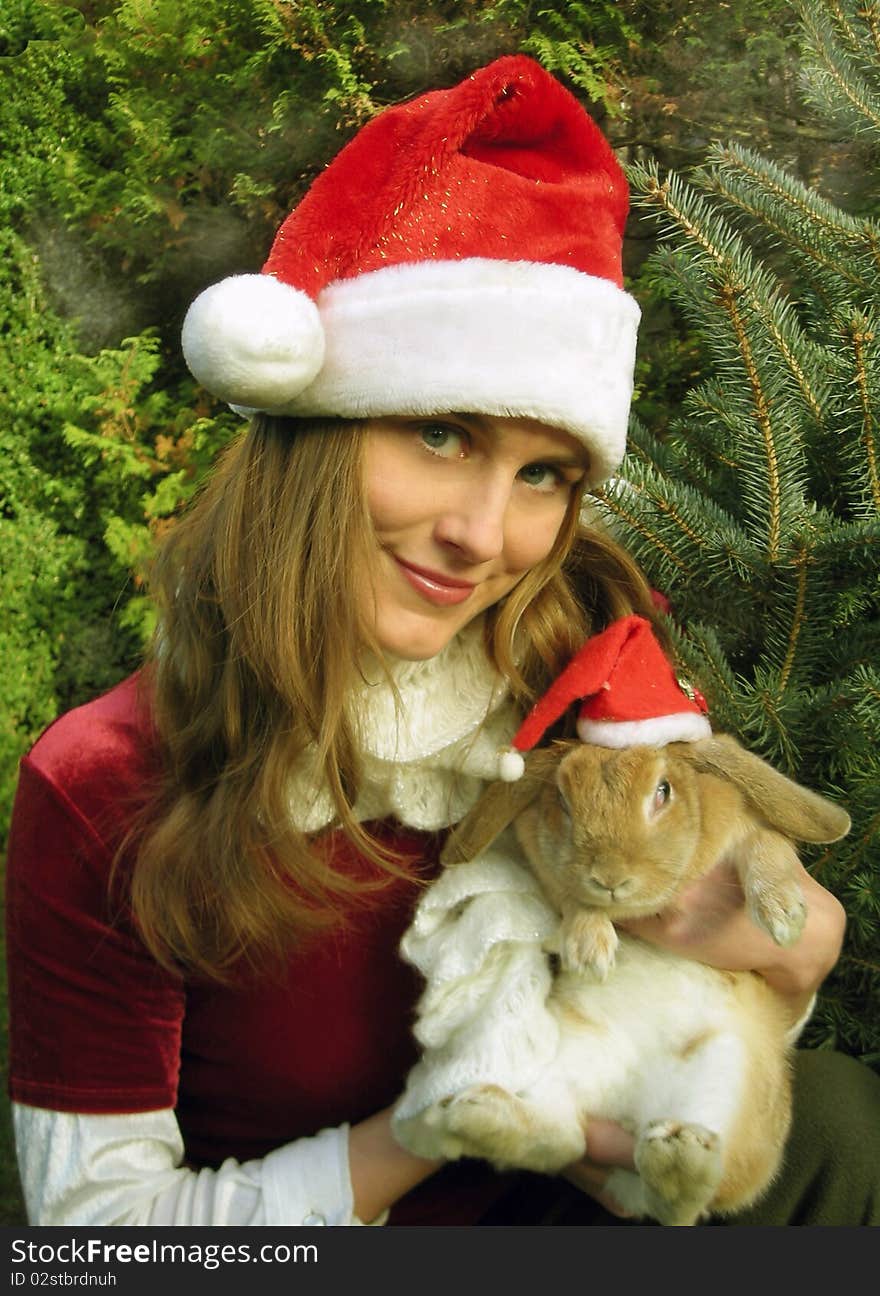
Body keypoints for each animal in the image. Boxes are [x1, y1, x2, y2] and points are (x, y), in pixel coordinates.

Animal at [391, 741, 845, 1223]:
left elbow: (767, 846)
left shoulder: (750, 829)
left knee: (691, 1198)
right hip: (559, 1060)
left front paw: (784, 919)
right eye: (562, 799)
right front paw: (589, 950)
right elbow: (571, 897)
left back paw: (676, 1158)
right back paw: (462, 1117)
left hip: (729, 1074)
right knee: (566, 1136)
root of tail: (626, 1108)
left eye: (663, 791)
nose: (609, 877)